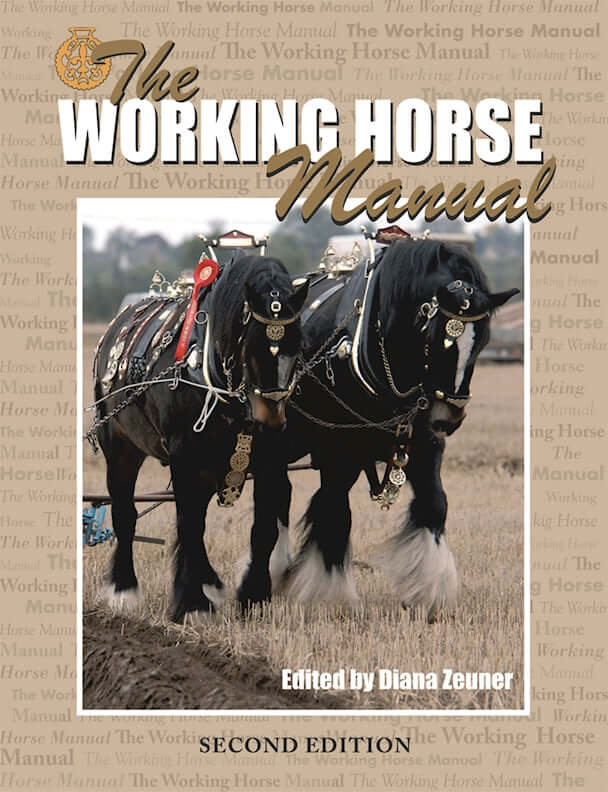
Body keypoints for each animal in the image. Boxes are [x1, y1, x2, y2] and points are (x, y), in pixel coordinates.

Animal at [90, 253, 308, 621]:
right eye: (251, 343)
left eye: (298, 345)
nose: (271, 420)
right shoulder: (184, 455)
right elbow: (190, 524)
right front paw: (191, 604)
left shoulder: (269, 459)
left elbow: (263, 526)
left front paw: (252, 596)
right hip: (120, 446)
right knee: (125, 512)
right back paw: (124, 590)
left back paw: (209, 582)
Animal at [247, 233, 519, 620]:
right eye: (440, 339)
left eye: (481, 341)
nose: (449, 417)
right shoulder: (338, 450)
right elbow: (335, 512)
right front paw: (330, 595)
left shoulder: (422, 444)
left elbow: (435, 504)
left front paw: (429, 591)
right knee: (275, 493)